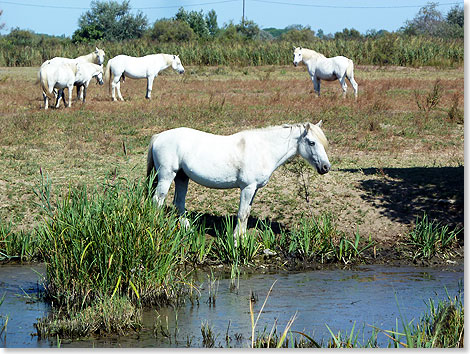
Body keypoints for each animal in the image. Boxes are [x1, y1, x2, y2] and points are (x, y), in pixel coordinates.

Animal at [147, 121, 330, 243]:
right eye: (312, 142)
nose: (326, 167)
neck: (263, 149)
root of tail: (159, 137)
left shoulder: (254, 189)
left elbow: (246, 213)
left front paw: (242, 238)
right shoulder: (247, 188)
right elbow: (241, 214)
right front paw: (236, 240)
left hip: (181, 177)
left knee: (178, 203)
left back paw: (188, 229)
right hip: (167, 176)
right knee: (157, 201)